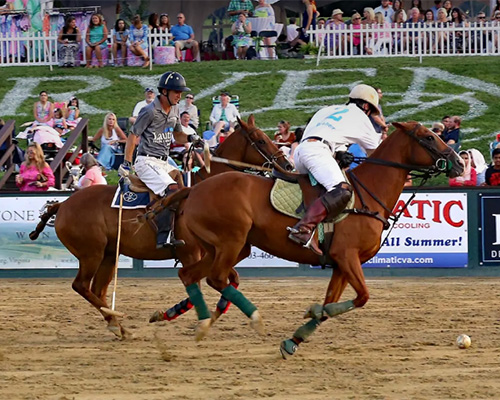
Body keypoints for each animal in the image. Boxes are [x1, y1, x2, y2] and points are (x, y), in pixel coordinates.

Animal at [29, 115, 292, 338]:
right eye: (260, 140)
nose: (287, 166)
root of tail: (63, 204)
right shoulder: (191, 253)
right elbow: (197, 284)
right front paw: (175, 315)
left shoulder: (215, 251)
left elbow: (230, 279)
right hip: (90, 253)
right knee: (82, 286)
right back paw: (117, 321)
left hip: (108, 254)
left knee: (98, 289)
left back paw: (117, 325)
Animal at [154, 122, 462, 354]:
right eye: (428, 137)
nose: (459, 163)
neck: (367, 194)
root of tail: (193, 189)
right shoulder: (347, 256)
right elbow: (361, 297)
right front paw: (310, 313)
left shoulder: (340, 264)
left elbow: (331, 302)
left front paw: (295, 338)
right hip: (231, 241)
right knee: (216, 278)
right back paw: (251, 318)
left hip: (224, 247)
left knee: (189, 274)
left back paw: (200, 322)